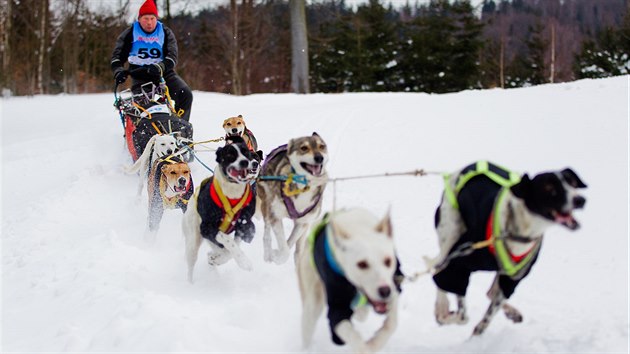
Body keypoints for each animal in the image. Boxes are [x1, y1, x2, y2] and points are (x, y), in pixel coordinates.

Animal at [298, 209, 404, 352]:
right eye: (362, 264)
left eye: (388, 261)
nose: (384, 291)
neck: (358, 229)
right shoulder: (337, 307)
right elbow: (354, 338)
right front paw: (368, 346)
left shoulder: (395, 285)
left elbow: (392, 323)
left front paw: (376, 342)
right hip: (312, 303)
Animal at [432, 162, 592, 336]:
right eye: (548, 188)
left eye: (572, 183)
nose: (580, 200)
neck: (518, 232)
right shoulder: (459, 263)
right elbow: (462, 315)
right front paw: (446, 317)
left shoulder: (513, 278)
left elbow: (488, 315)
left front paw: (478, 332)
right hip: (449, 236)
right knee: (438, 268)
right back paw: (441, 308)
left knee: (492, 292)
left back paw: (512, 312)